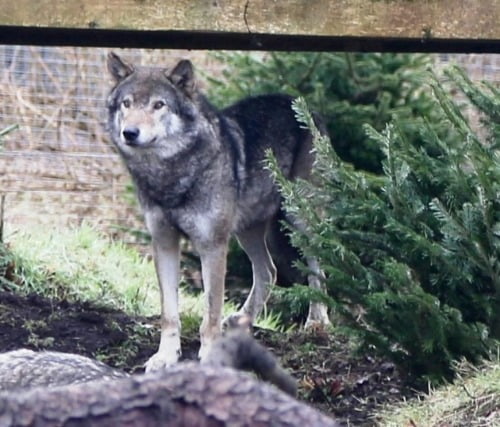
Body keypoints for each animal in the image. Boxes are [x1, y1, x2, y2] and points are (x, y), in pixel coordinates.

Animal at [107, 52, 330, 372]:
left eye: (159, 105)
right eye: (127, 103)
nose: (130, 133)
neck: (173, 175)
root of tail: (305, 106)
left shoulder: (212, 245)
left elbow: (210, 312)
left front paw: (211, 355)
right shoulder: (164, 242)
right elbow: (169, 313)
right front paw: (165, 356)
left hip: (298, 218)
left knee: (317, 265)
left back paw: (317, 322)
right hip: (246, 231)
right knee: (269, 271)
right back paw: (241, 319)